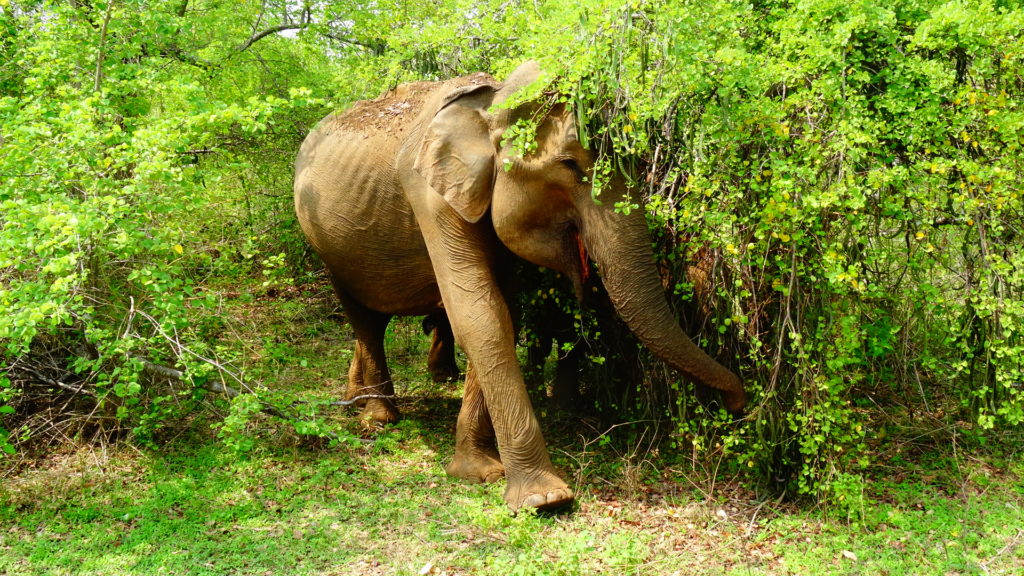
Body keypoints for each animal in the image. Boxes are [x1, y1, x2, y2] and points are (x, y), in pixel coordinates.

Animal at [292, 61, 749, 510]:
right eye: (570, 165)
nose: (737, 403)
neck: (492, 102)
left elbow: (503, 309)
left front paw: (479, 470)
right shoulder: (429, 192)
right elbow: (480, 315)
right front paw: (545, 497)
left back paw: (357, 400)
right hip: (323, 242)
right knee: (364, 318)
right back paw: (379, 417)